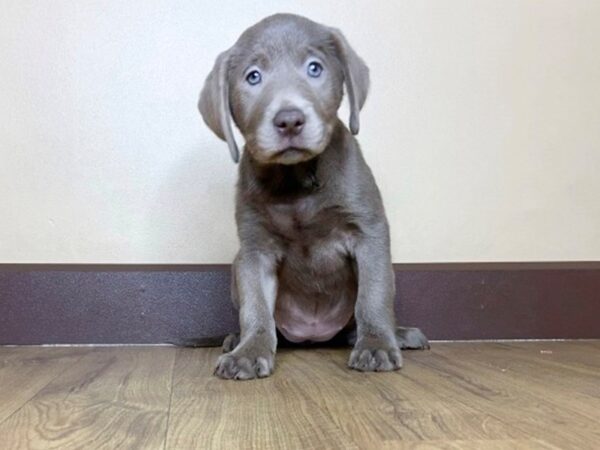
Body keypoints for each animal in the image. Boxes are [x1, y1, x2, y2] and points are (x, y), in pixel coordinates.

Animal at [199, 13, 428, 380]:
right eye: (253, 76)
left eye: (314, 68)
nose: (289, 120)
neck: (296, 179)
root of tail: (313, 333)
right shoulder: (254, 248)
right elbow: (256, 308)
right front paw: (249, 351)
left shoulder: (369, 231)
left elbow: (373, 296)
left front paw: (376, 345)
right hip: (237, 265)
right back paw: (235, 338)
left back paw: (397, 335)